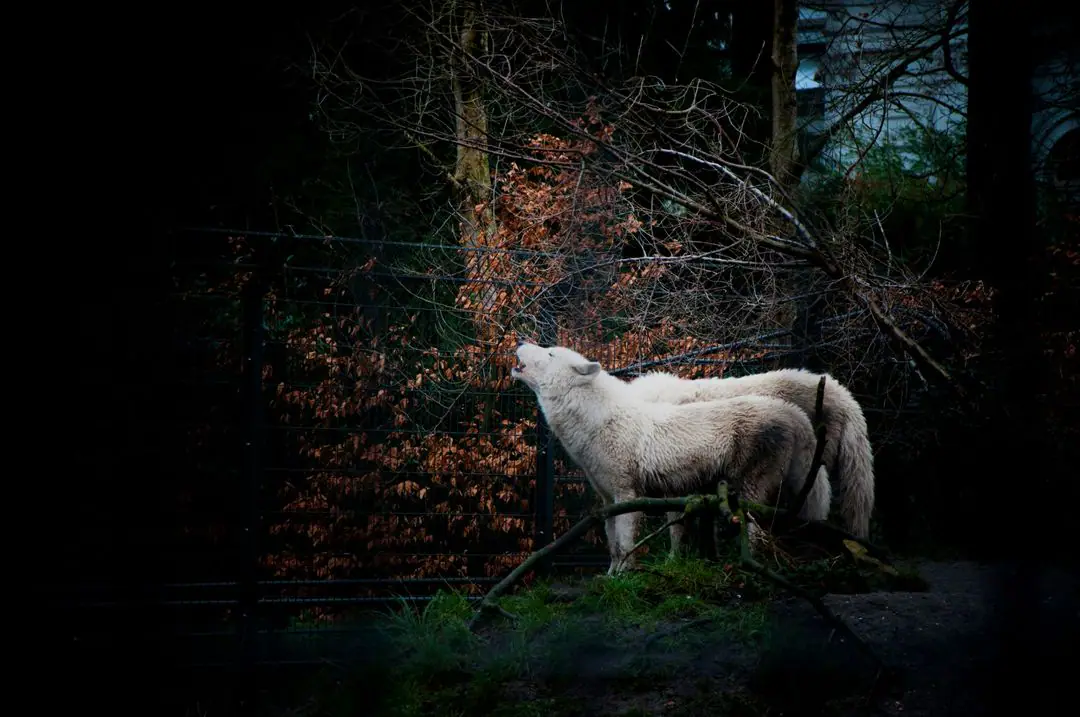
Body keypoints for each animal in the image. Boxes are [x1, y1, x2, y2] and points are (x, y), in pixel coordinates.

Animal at [511, 342, 831, 574]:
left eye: (549, 352)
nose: (520, 342)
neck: (598, 421)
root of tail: (791, 412)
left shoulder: (628, 495)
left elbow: (625, 545)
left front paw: (623, 578)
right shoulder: (607, 501)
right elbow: (613, 546)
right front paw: (609, 577)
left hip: (747, 491)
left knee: (754, 532)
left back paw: (747, 567)